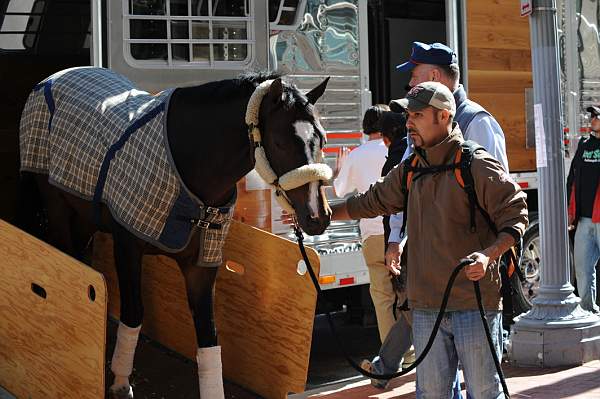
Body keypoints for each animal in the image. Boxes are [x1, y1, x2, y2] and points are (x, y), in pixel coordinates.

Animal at [18, 67, 330, 398]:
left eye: (321, 140)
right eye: (281, 142)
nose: (317, 216)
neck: (190, 162)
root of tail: (54, 78)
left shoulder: (202, 265)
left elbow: (209, 336)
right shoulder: (127, 247)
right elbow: (133, 312)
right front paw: (120, 381)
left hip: (85, 215)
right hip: (56, 205)